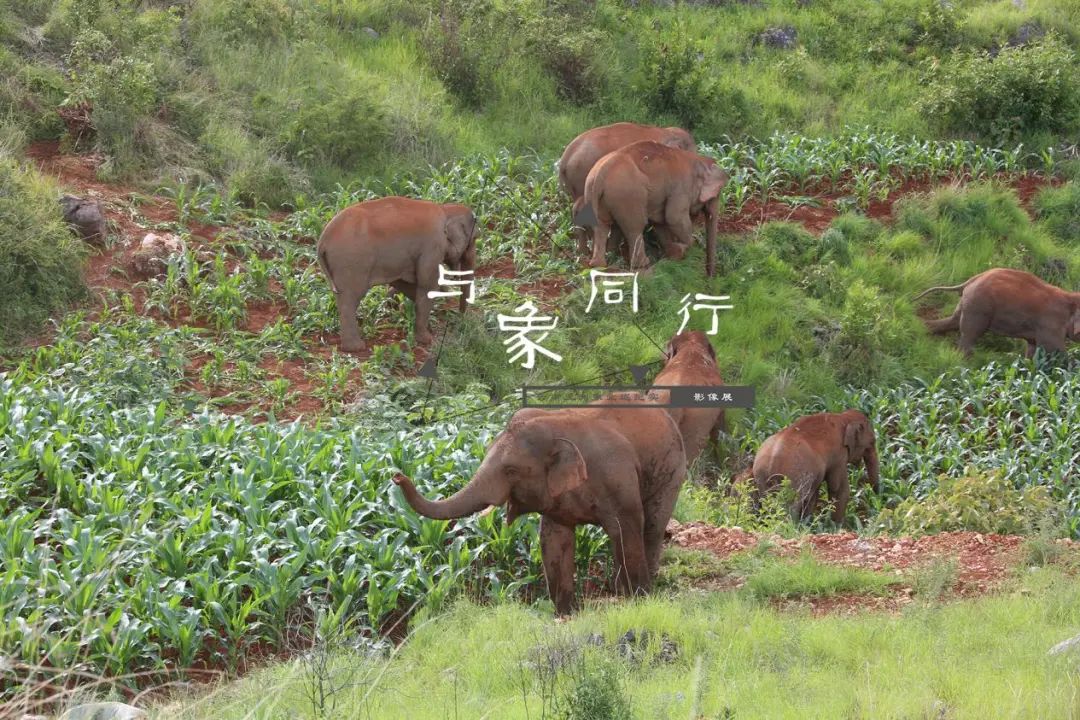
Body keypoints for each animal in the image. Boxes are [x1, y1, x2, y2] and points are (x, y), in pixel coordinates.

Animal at [316, 196, 478, 352]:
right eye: (475, 238)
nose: (460, 319)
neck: (445, 209)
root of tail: (322, 242)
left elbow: (404, 283)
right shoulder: (433, 247)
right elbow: (427, 286)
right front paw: (427, 339)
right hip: (352, 262)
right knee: (350, 299)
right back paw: (356, 348)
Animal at [392, 394, 688, 615]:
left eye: (510, 470)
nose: (396, 475)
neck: (555, 422)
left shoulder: (617, 479)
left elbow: (625, 530)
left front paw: (638, 600)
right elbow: (554, 540)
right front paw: (566, 614)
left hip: (672, 469)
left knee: (652, 525)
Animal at [574, 141, 728, 278]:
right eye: (717, 194)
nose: (710, 277)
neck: (698, 159)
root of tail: (601, 172)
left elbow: (659, 221)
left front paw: (673, 252)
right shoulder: (681, 188)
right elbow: (674, 218)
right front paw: (685, 248)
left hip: (596, 194)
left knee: (602, 225)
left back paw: (600, 265)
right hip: (629, 195)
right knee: (635, 227)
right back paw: (642, 266)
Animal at [914, 268, 1080, 358]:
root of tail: (971, 280)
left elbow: (1032, 349)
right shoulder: (1051, 323)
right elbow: (1055, 351)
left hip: (970, 303)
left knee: (953, 323)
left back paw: (923, 328)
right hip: (980, 305)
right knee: (970, 333)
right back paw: (965, 362)